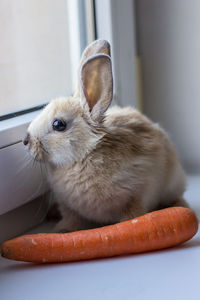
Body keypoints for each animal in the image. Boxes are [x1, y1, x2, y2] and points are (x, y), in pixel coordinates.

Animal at [23, 39, 188, 232]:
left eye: (59, 125)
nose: (25, 140)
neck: (83, 156)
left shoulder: (134, 195)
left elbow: (132, 215)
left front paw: (129, 227)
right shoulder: (68, 206)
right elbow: (71, 219)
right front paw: (62, 231)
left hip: (173, 184)